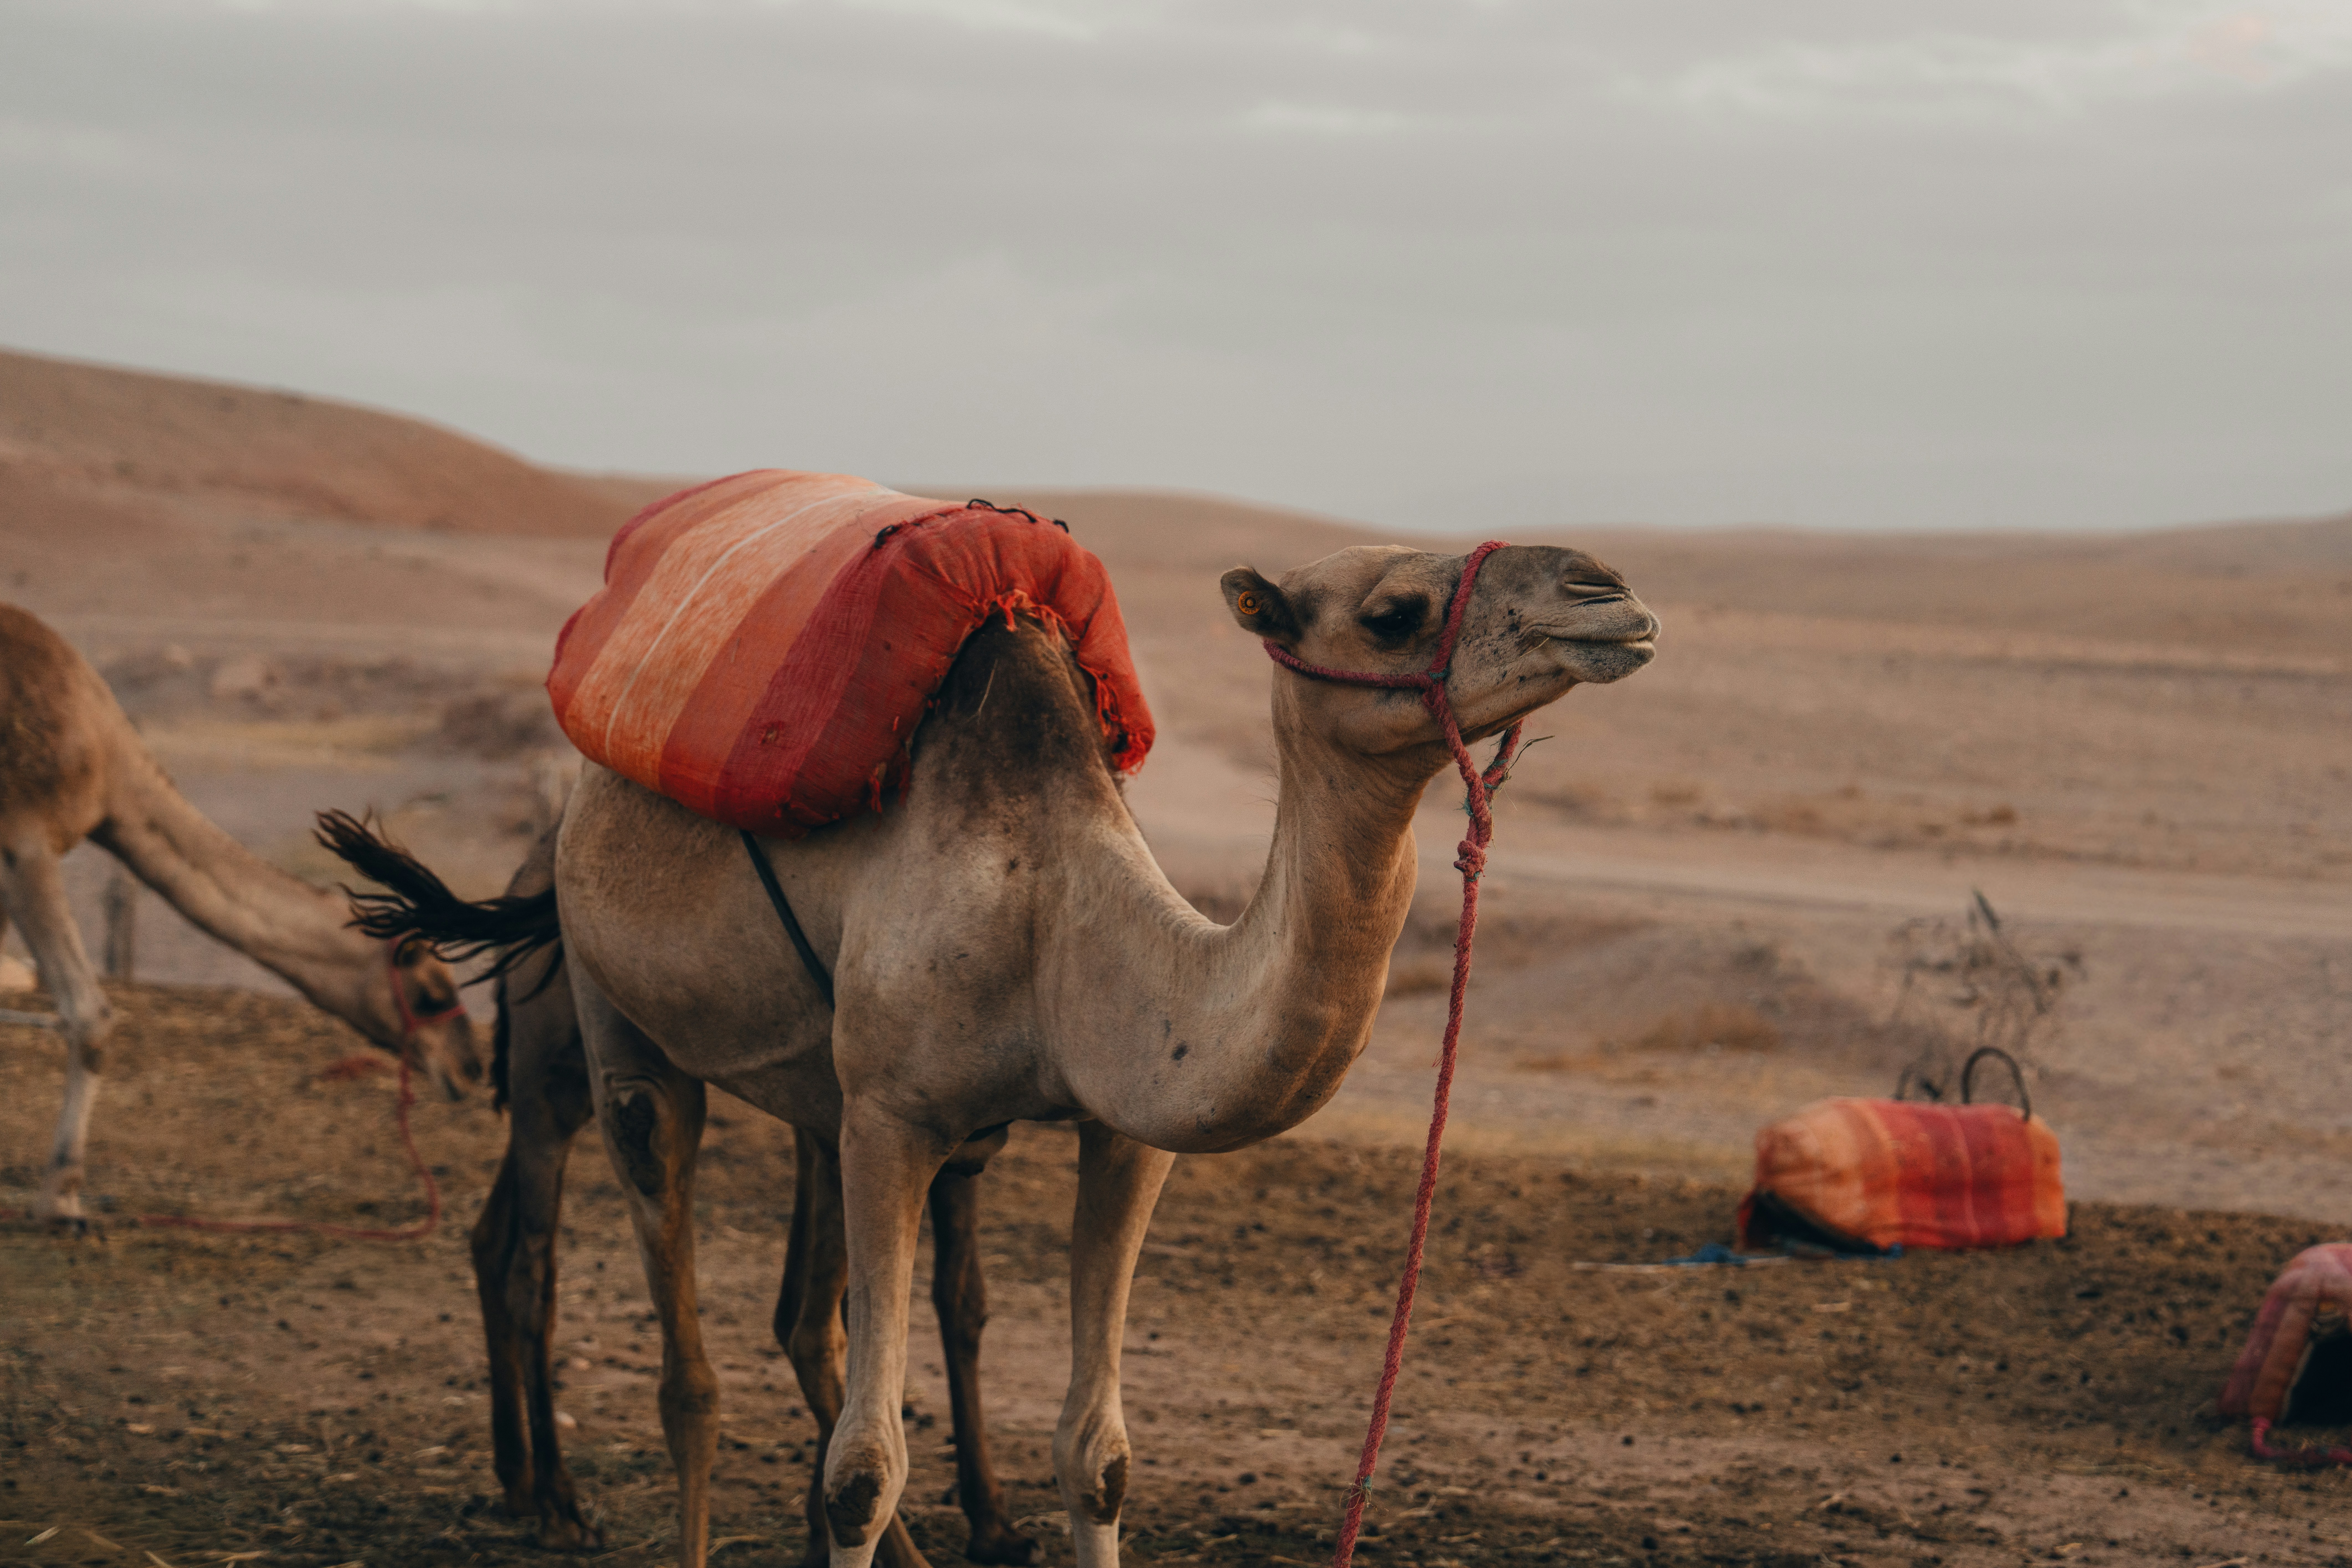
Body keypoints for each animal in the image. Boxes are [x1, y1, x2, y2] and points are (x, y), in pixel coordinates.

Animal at [0, 604, 483, 1225]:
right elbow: (90, 1014)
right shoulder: (27, 842)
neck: (109, 771)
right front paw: (60, 1200)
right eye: (431, 990)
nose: (469, 1069)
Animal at [417, 822, 1031, 1564]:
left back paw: (518, 1478)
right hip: (549, 1075)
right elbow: (868, 1307)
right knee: (533, 1271)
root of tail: (529, 874)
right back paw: (561, 1504)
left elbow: (940, 1296)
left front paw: (978, 1519)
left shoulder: (907, 1122)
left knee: (491, 1236)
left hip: (564, 1079)